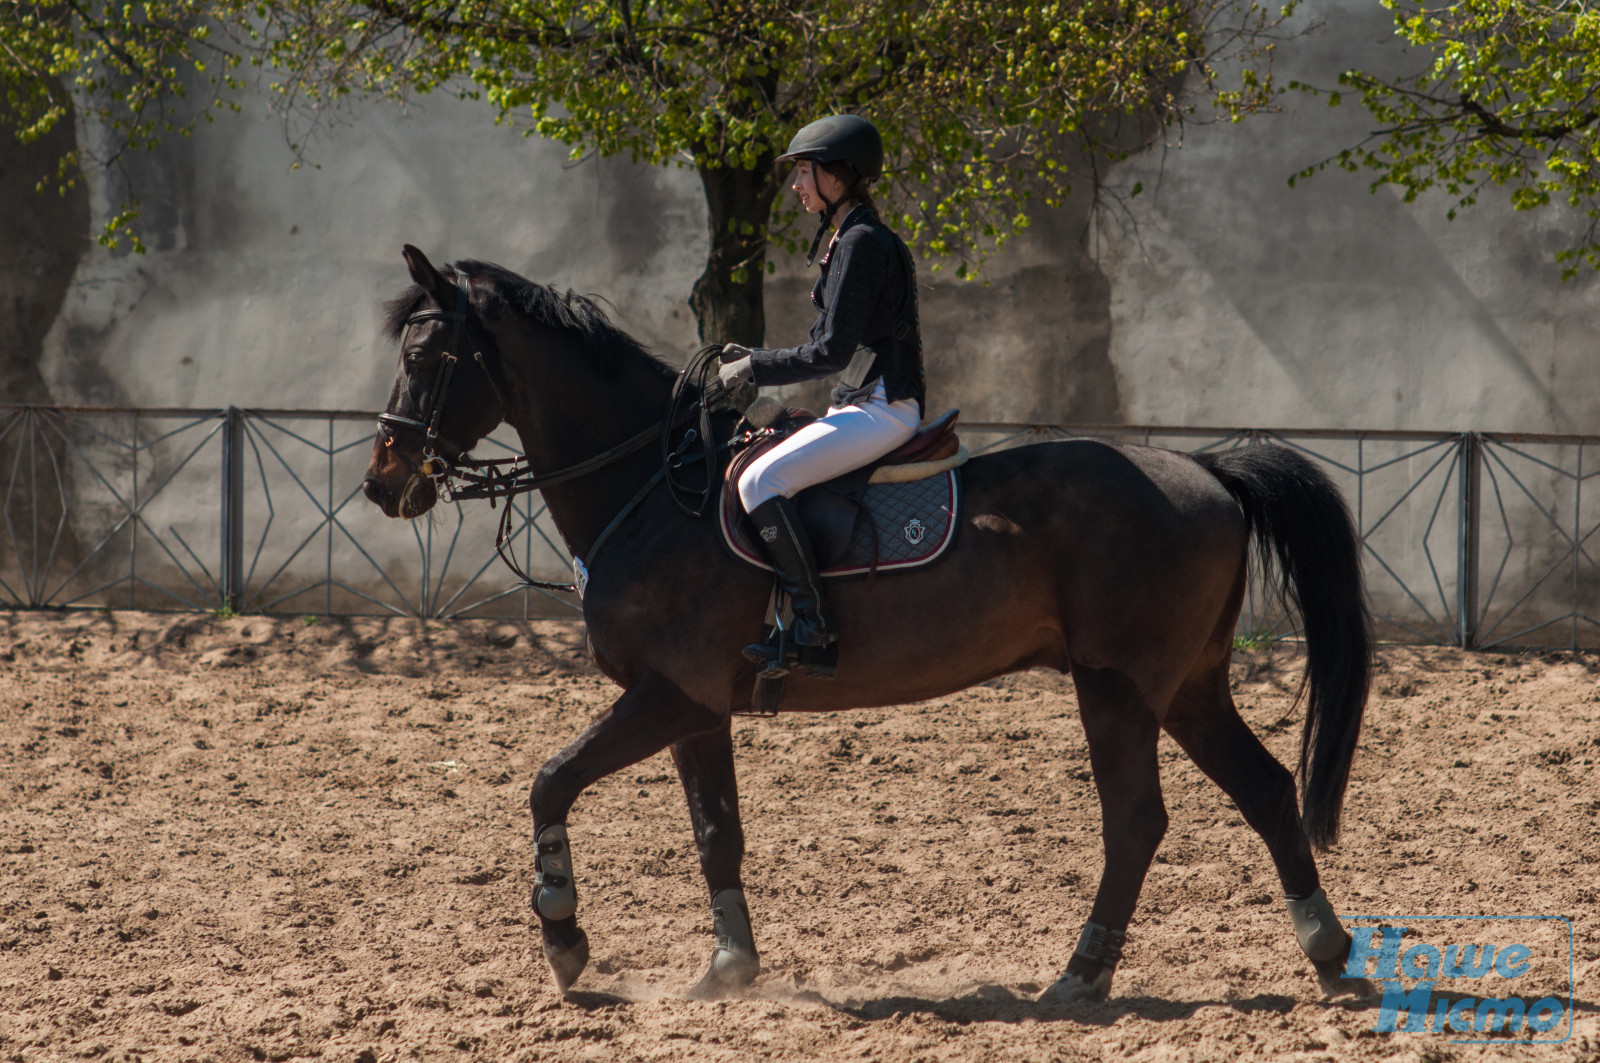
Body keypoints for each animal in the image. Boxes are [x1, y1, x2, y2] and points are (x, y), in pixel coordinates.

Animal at [360, 246, 1376, 1005]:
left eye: (426, 358)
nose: (382, 482)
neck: (653, 490)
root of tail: (1207, 470)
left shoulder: (664, 695)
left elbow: (550, 780)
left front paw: (565, 936)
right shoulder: (697, 708)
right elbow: (716, 832)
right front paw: (728, 969)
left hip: (1119, 686)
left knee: (1134, 821)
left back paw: (1080, 976)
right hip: (1189, 686)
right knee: (1266, 788)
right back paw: (1327, 952)